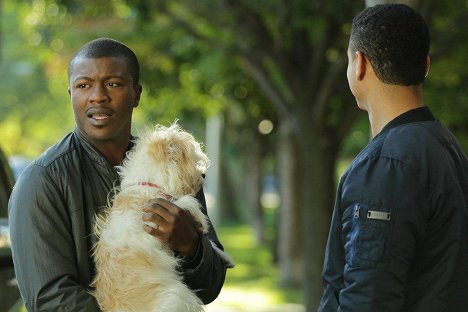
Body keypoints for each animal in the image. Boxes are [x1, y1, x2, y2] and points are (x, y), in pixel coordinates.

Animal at [92, 123, 212, 310]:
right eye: (193, 158)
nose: (204, 175)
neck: (147, 184)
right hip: (177, 295)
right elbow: (182, 201)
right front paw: (200, 220)